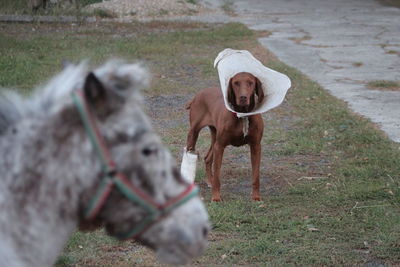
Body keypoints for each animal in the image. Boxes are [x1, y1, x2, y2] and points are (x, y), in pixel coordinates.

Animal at [185, 72, 266, 202]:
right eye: (236, 83)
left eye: (250, 82)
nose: (243, 97)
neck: (242, 115)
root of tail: (197, 95)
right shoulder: (220, 146)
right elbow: (218, 176)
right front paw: (216, 197)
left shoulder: (256, 146)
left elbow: (256, 176)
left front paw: (256, 197)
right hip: (194, 133)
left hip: (214, 138)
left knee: (207, 158)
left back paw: (210, 181)